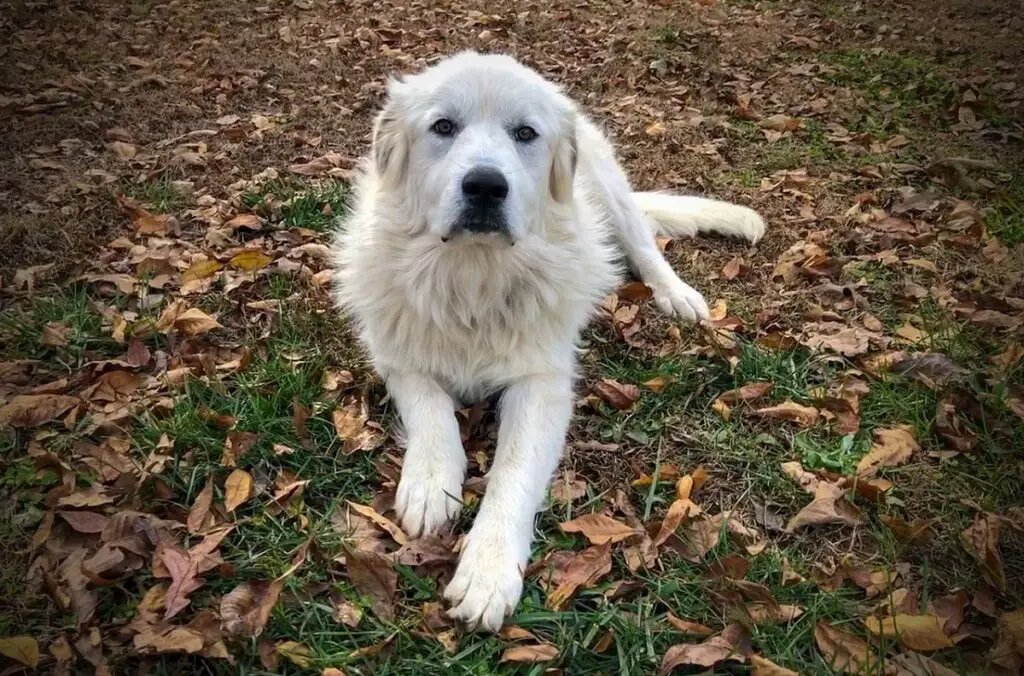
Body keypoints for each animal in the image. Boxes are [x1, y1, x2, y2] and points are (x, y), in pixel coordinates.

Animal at [331, 50, 765, 630]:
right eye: (443, 127)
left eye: (525, 133)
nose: (485, 186)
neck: (473, 277)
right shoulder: (398, 355)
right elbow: (430, 409)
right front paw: (429, 481)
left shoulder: (541, 384)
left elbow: (512, 473)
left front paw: (488, 571)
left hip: (611, 194)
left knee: (645, 249)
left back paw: (677, 295)